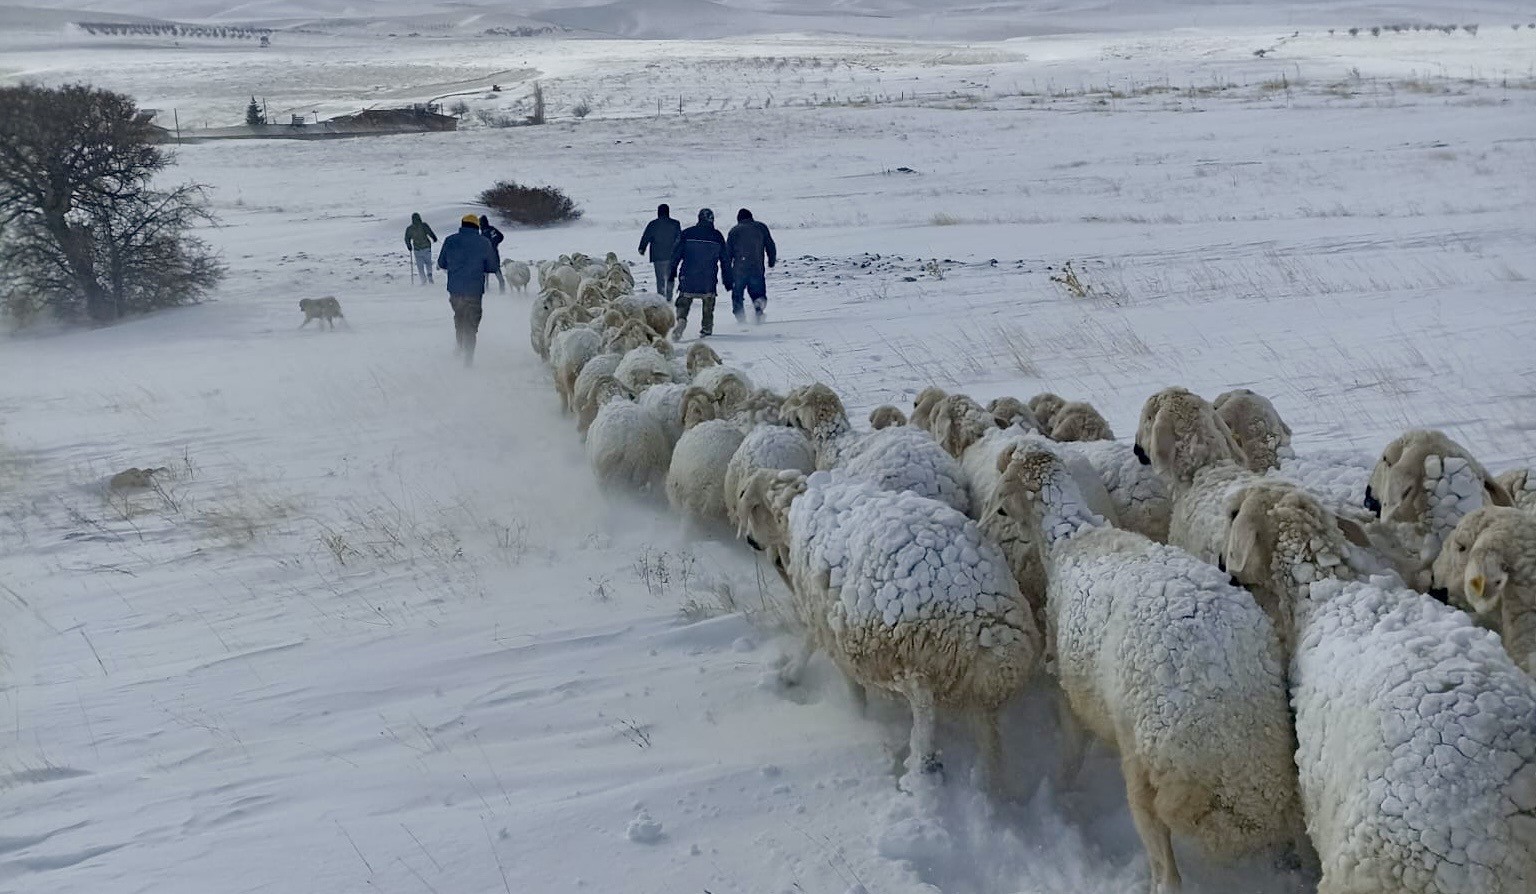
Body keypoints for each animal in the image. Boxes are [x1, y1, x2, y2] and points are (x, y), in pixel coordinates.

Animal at [734, 470, 1044, 792]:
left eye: (752, 506)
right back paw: (991, 784)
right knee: (989, 740)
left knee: (922, 704)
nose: (750, 541)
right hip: (974, 686)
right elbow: (812, 639)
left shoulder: (828, 621)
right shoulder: (826, 614)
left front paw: (846, 711)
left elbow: (828, 660)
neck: (794, 507)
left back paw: (920, 766)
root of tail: (992, 629)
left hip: (910, 651)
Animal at [983, 448, 1308, 890]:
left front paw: (1059, 790)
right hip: (1277, 777)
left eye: (1002, 504)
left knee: (1166, 874)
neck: (1072, 537)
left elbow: (1071, 750)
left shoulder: (1073, 690)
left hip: (1146, 769)